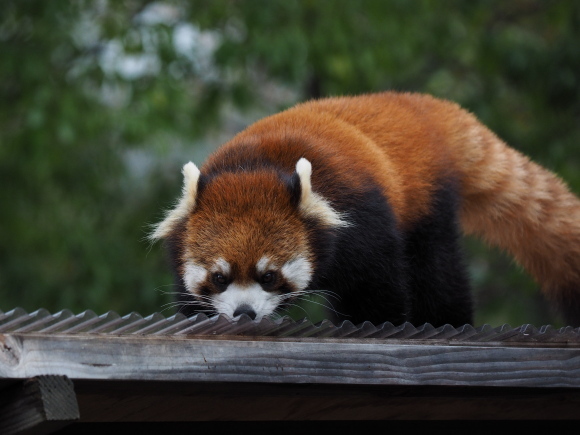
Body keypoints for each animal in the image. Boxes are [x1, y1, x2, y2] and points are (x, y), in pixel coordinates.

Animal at [150, 92, 580, 326]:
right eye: (219, 277)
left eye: (269, 276)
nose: (244, 313)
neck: (256, 165)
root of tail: (424, 108)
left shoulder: (362, 216)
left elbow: (375, 290)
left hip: (425, 202)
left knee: (438, 270)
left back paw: (446, 319)